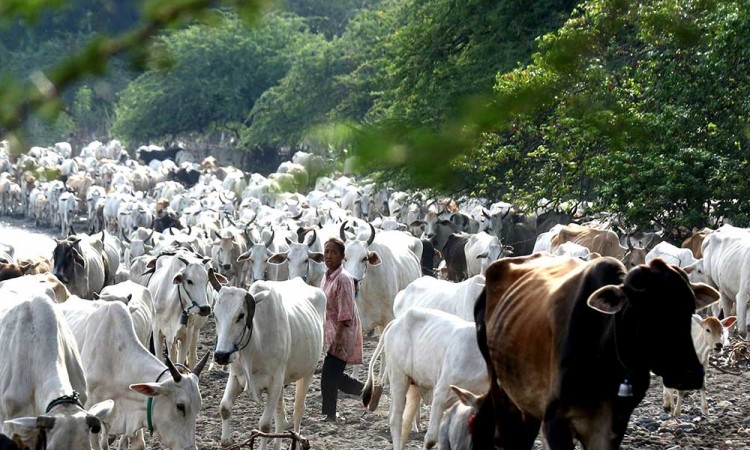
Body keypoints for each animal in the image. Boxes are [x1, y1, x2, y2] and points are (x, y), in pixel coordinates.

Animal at [214, 280, 326, 448]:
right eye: (214, 314)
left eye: (241, 315)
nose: (221, 355)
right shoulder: (236, 377)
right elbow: (224, 408)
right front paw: (227, 440)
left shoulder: (275, 382)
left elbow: (265, 426)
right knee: (281, 417)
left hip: (308, 372)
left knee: (298, 410)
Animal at [362, 308, 490, 450]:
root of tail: (396, 322)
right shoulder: (441, 394)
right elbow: (431, 439)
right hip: (398, 377)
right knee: (396, 419)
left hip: (413, 386)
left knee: (406, 422)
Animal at [472, 255, 720, 448]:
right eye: (642, 311)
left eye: (689, 308)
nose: (690, 374)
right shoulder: (555, 422)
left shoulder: (613, 426)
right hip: (503, 394)